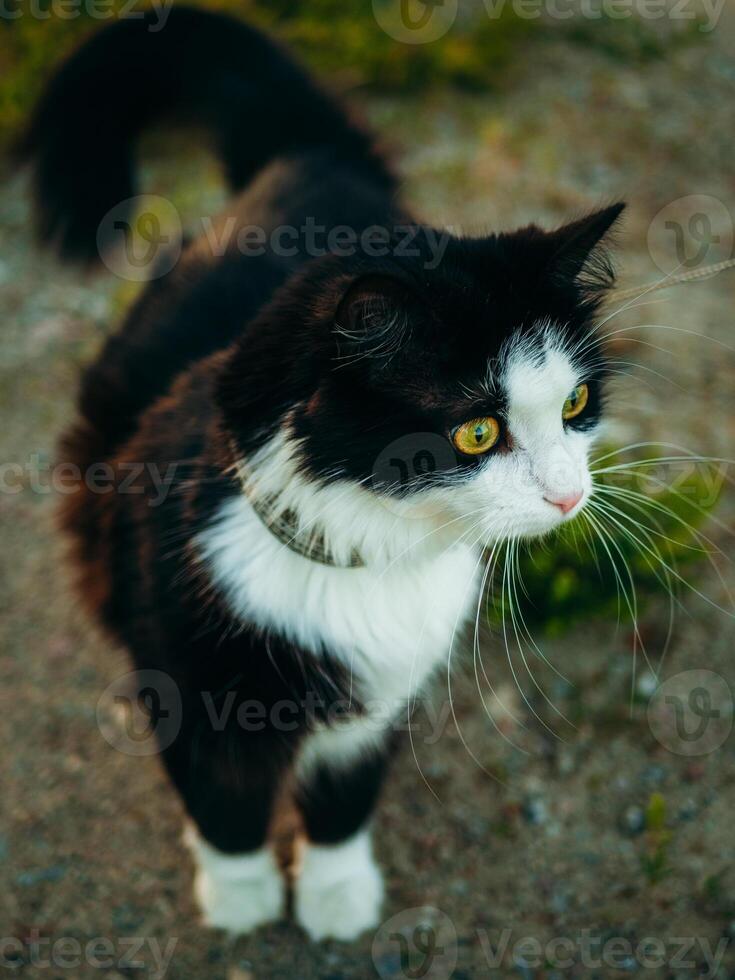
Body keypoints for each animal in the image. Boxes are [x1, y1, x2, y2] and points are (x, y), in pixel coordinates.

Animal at [24, 5, 628, 940]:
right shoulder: (188, 684)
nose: (568, 495)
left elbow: (344, 798)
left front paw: (336, 897)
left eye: (573, 405)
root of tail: (310, 161)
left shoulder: (380, 699)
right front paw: (240, 899)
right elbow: (224, 803)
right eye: (477, 432)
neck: (361, 557)